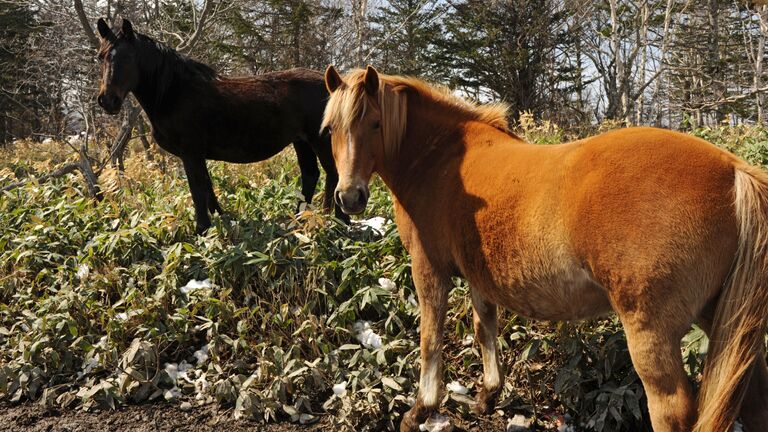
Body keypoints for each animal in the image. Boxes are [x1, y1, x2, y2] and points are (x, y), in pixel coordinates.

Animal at [95, 17, 348, 233]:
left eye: (127, 58)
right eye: (101, 56)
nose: (107, 100)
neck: (173, 91)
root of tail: (334, 84)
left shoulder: (191, 152)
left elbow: (197, 190)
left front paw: (202, 230)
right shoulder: (197, 154)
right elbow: (208, 189)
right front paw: (220, 221)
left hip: (320, 141)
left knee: (334, 174)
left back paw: (337, 219)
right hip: (301, 141)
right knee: (310, 175)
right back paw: (299, 220)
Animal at [322, 65, 768, 432]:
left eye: (375, 123)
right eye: (331, 130)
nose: (349, 197)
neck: (442, 157)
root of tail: (734, 170)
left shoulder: (429, 267)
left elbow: (431, 337)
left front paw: (420, 410)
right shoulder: (479, 273)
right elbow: (485, 328)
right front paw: (488, 395)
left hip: (653, 331)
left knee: (672, 409)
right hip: (721, 317)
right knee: (754, 397)